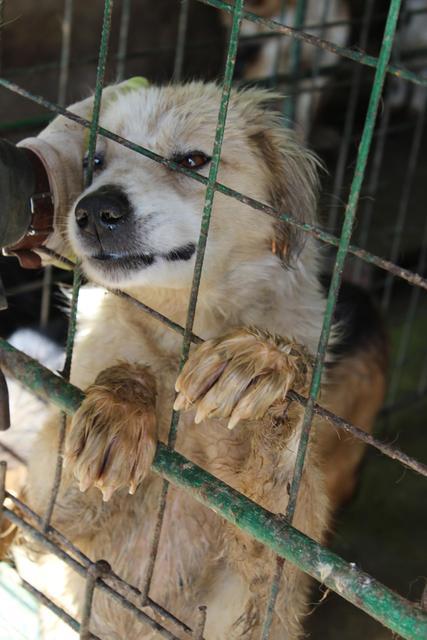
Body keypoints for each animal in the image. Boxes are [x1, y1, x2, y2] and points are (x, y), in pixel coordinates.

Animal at [12, 81, 388, 640]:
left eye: (192, 160)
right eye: (93, 161)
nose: (94, 210)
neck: (181, 334)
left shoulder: (263, 578)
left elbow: (275, 508)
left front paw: (260, 363)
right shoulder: (52, 519)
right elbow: (110, 388)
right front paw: (117, 414)